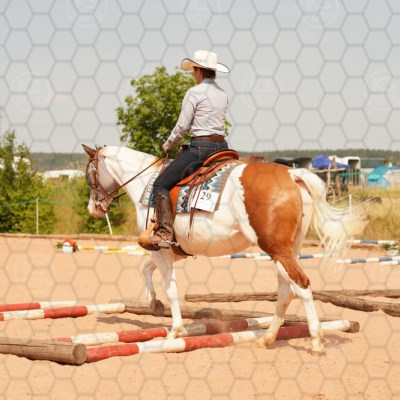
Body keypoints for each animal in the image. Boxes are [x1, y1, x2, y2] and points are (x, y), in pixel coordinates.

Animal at [83, 144, 369, 354]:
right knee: (286, 291)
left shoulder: (161, 250)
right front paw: (153, 302)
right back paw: (266, 338)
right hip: (287, 250)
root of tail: (292, 174)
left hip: (277, 250)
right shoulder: (166, 252)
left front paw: (174, 330)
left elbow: (171, 289)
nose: (93, 207)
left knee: (302, 286)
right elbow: (145, 268)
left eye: (90, 174)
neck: (146, 183)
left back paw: (316, 342)